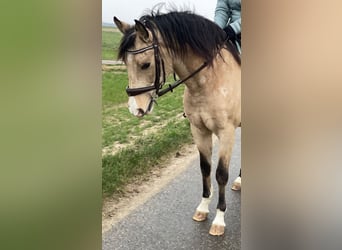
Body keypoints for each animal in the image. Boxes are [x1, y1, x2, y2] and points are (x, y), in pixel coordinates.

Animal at [114, 9, 240, 235]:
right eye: (125, 64)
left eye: (145, 64)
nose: (135, 109)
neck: (210, 81)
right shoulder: (198, 130)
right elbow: (205, 169)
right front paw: (203, 208)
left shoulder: (227, 132)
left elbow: (221, 174)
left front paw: (219, 219)